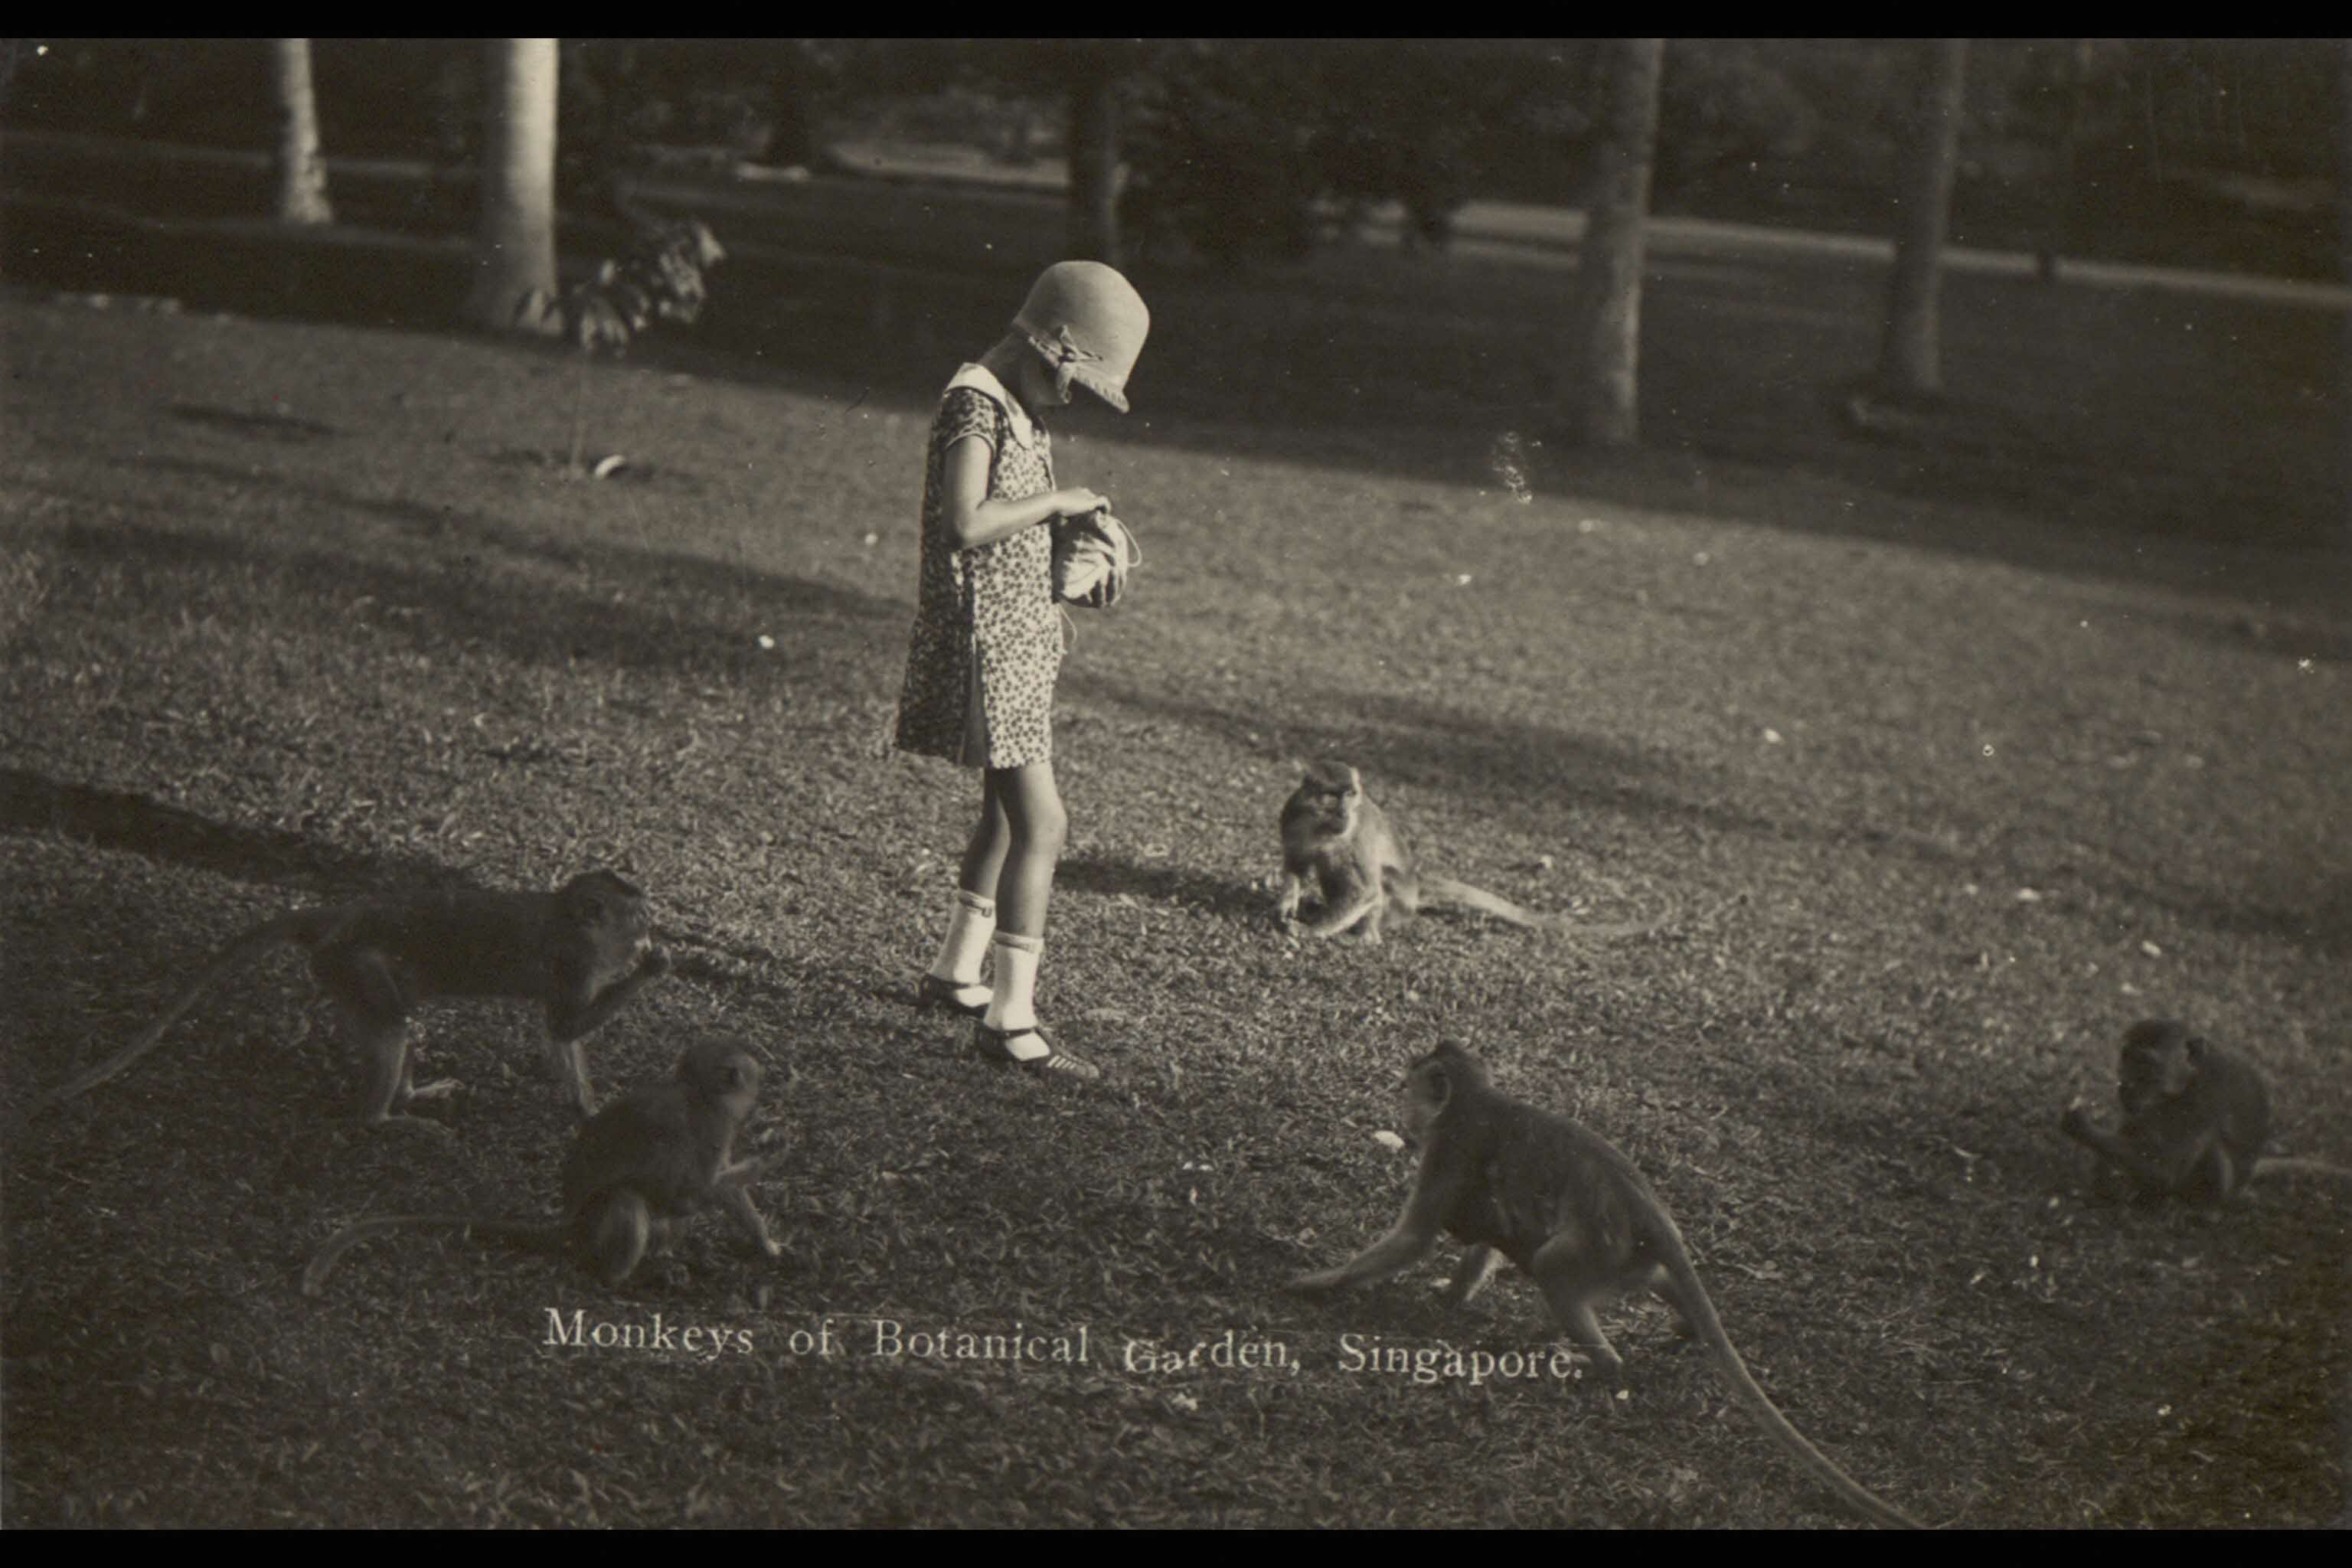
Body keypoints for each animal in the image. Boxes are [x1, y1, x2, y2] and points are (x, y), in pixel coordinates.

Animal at [25, 870, 672, 1128]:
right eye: (638, 917)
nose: (651, 931)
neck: (573, 922)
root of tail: (339, 916)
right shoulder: (575, 963)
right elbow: (563, 1028)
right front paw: (654, 966)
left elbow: (562, 1040)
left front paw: (588, 1108)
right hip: (348, 962)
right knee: (392, 1023)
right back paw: (382, 1120)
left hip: (343, 970)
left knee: (404, 1015)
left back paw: (411, 1094)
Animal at [299, 1034, 780, 1297]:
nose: (764, 1082)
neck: (699, 1093)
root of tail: (569, 1224)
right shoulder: (711, 1128)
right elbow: (688, 1193)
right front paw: (766, 1162)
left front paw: (765, 1243)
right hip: (593, 1227)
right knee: (627, 1199)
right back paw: (623, 1277)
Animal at [1279, 761, 1664, 945]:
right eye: (1332, 797)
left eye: (1351, 795)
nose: (1346, 813)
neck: (1322, 828)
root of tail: (1416, 886)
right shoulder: (1293, 818)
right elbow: (1296, 864)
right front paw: (1287, 903)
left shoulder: (1355, 838)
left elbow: (1366, 891)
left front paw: (1310, 931)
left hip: (1400, 901)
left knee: (1380, 881)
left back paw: (1368, 932)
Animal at [1289, 1044, 1929, 1532]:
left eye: (1409, 1086)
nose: (1401, 1109)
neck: (1475, 1098)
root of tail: (1654, 1215)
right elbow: (1484, 1231)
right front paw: (1453, 1294)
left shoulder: (1452, 1146)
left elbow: (1417, 1236)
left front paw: (1317, 1282)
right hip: (1627, 1259)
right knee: (1643, 1275)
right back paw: (1680, 1321)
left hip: (1599, 1251)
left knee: (1551, 1265)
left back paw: (1602, 1365)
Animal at [2060, 1024, 2352, 1213]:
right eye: (2127, 1057)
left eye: (2146, 1064)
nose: (2126, 1085)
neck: (2189, 1080)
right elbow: (2136, 1126)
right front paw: (2101, 1181)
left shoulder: (2205, 1097)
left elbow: (2167, 1169)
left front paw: (2082, 1127)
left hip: (2223, 1189)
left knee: (2211, 1149)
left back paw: (2198, 1209)